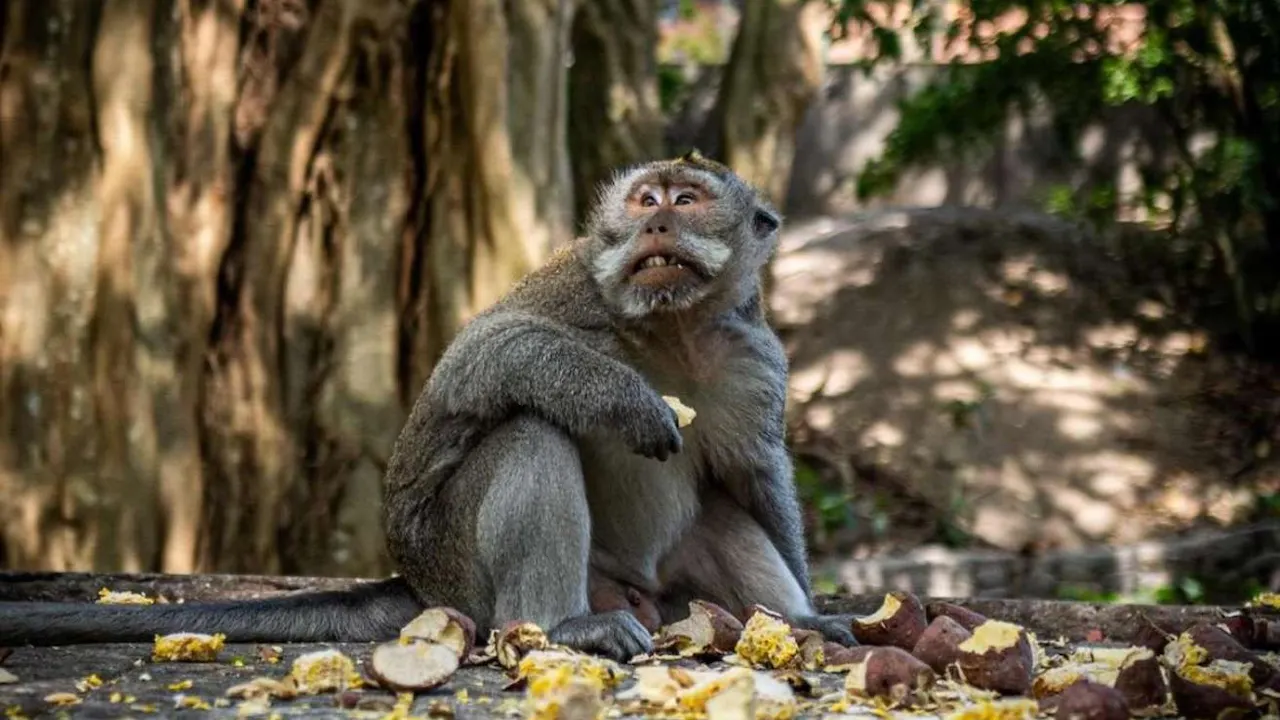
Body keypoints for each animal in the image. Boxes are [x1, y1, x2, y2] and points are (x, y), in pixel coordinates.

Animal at [0, 152, 858, 661]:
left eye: (687, 199)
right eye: (646, 198)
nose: (654, 221)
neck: (672, 329)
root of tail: (421, 587)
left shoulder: (754, 360)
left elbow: (753, 478)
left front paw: (805, 609)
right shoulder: (577, 289)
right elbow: (480, 359)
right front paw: (620, 399)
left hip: (665, 591)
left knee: (716, 513)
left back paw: (788, 623)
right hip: (461, 572)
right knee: (528, 430)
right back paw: (559, 624)